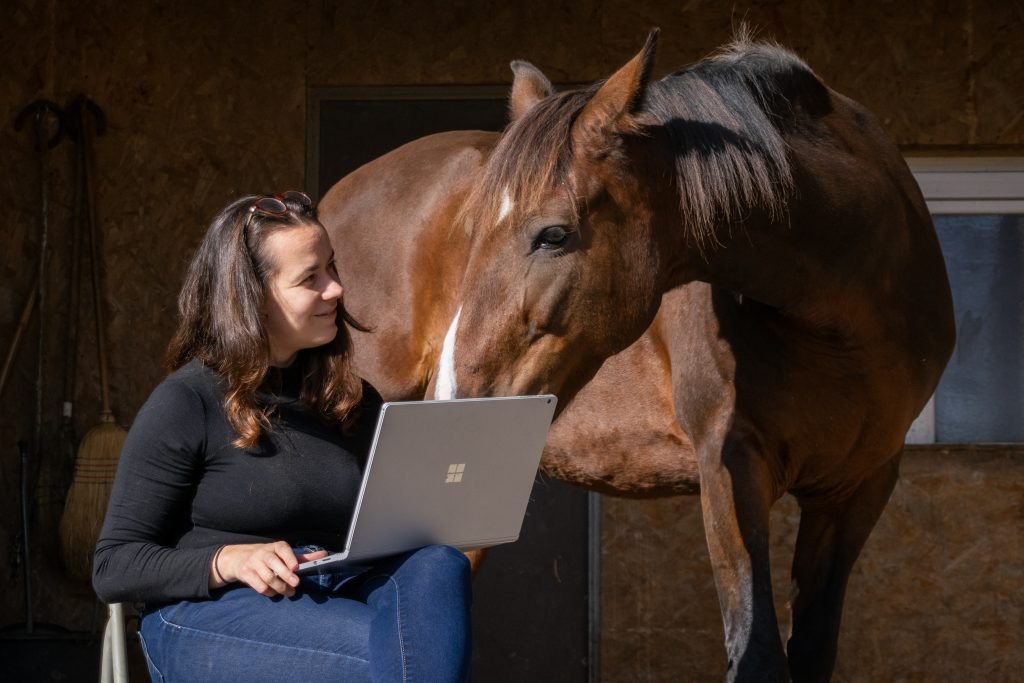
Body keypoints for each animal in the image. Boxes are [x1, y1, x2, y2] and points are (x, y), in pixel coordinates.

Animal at [319, 32, 955, 683]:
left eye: (554, 234)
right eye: (468, 237)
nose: (453, 402)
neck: (839, 320)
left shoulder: (858, 490)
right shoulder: (730, 469)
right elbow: (755, 653)